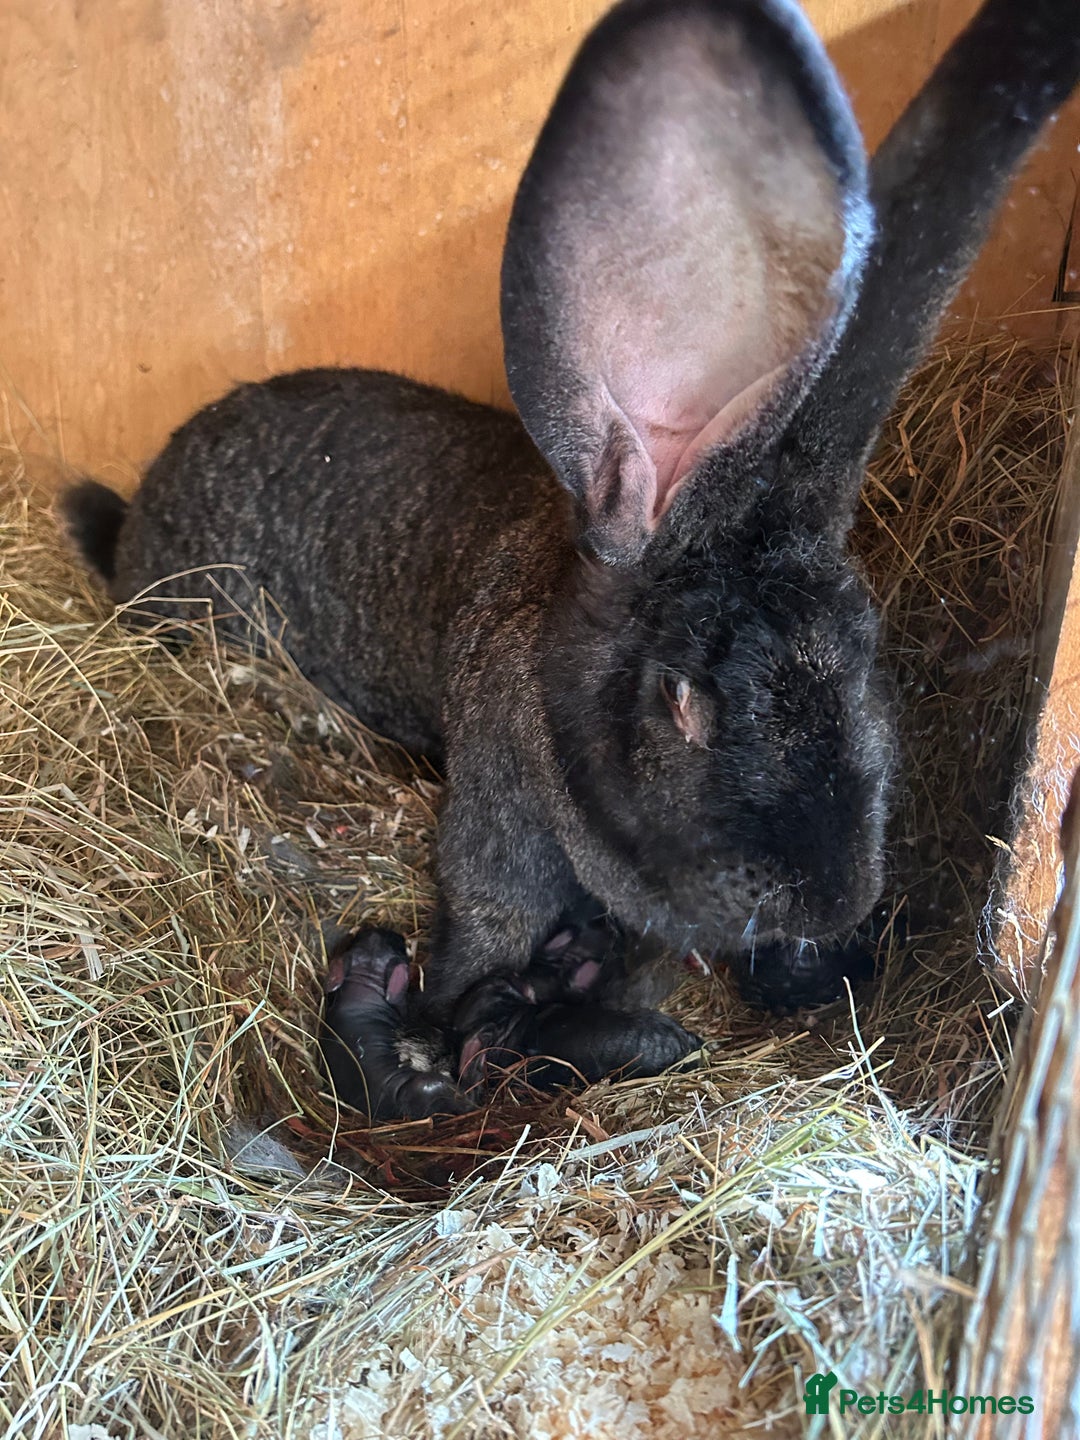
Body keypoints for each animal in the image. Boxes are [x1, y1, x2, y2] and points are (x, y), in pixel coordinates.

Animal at [64, 0, 1080, 1120]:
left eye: (870, 648)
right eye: (683, 700)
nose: (832, 900)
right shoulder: (495, 812)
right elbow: (490, 921)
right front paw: (443, 1029)